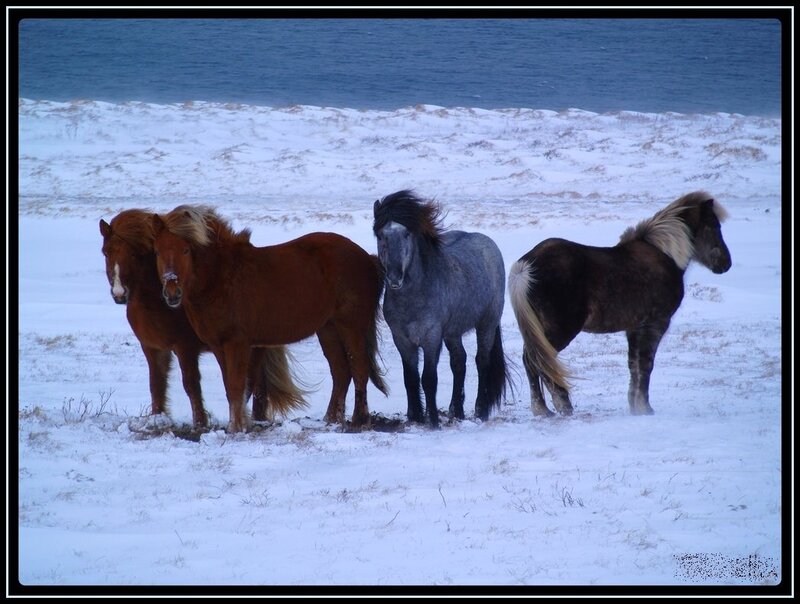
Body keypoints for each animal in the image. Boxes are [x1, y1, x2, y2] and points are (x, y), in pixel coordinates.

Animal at [100, 209, 308, 429]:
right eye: (106, 252)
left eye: (134, 254)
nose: (119, 293)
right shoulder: (152, 348)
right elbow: (156, 384)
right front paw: (157, 418)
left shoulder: (185, 347)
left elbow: (191, 384)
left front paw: (200, 422)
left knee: (255, 384)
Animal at [151, 205, 388, 433]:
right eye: (158, 252)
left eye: (185, 250)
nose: (172, 292)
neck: (220, 278)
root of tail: (366, 257)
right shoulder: (219, 346)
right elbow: (230, 387)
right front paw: (238, 425)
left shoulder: (237, 343)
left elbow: (237, 386)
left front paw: (236, 428)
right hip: (328, 329)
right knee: (341, 372)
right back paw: (330, 420)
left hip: (351, 326)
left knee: (359, 369)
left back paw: (359, 420)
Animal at [373, 190, 510, 427]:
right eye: (380, 235)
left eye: (407, 234)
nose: (394, 277)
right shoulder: (402, 339)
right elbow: (410, 378)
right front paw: (416, 417)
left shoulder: (431, 336)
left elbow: (428, 378)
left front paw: (433, 420)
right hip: (453, 332)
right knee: (459, 362)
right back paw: (457, 412)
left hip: (487, 324)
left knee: (481, 361)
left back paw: (480, 411)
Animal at [507, 191, 732, 417]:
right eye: (714, 226)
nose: (726, 263)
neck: (666, 255)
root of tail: (526, 267)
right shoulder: (655, 324)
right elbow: (646, 364)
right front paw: (645, 408)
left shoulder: (634, 328)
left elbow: (634, 365)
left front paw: (635, 406)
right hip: (559, 331)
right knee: (540, 361)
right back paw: (562, 406)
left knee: (532, 362)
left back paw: (542, 409)